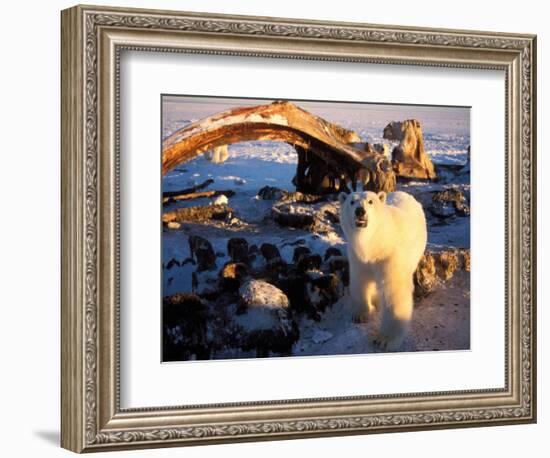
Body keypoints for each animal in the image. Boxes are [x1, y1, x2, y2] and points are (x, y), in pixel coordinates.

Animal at [340, 190, 426, 350]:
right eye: (351, 202)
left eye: (370, 201)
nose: (360, 211)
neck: (375, 244)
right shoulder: (358, 257)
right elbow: (360, 280)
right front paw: (360, 315)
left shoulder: (390, 255)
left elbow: (393, 292)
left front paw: (384, 340)